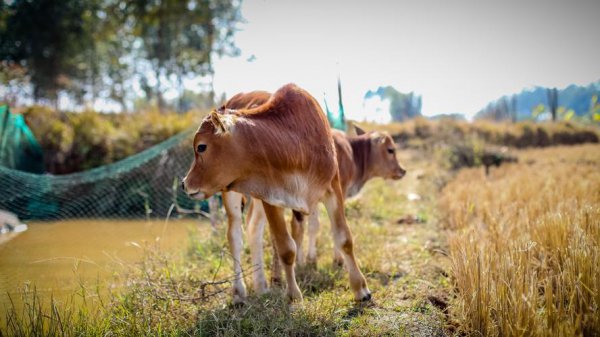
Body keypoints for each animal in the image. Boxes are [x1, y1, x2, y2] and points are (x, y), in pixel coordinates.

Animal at [180, 83, 372, 302]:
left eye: (201, 147)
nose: (184, 184)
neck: (295, 147)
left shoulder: (333, 188)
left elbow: (344, 238)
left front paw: (361, 290)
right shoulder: (271, 198)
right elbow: (286, 248)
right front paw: (294, 296)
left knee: (253, 228)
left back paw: (261, 285)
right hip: (230, 193)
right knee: (235, 235)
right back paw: (239, 292)